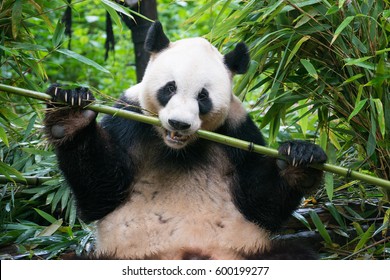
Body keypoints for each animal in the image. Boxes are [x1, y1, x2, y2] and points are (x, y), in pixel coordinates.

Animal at [44, 21, 328, 260]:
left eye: (203, 96)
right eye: (170, 88)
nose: (179, 123)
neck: (178, 149)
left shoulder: (238, 132)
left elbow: (259, 204)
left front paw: (301, 158)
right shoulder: (128, 118)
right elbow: (102, 192)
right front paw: (69, 112)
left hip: (249, 252)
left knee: (297, 253)